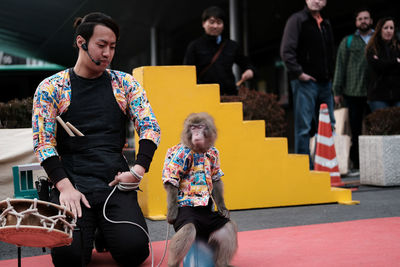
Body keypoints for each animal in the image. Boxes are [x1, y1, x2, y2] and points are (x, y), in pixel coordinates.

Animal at [162, 113, 238, 267]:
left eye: (200, 126)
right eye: (193, 127)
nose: (196, 133)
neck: (200, 151)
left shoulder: (214, 151)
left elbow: (215, 178)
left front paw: (223, 208)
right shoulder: (183, 153)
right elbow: (173, 180)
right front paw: (171, 214)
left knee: (227, 227)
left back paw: (222, 263)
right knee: (188, 229)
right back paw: (173, 263)